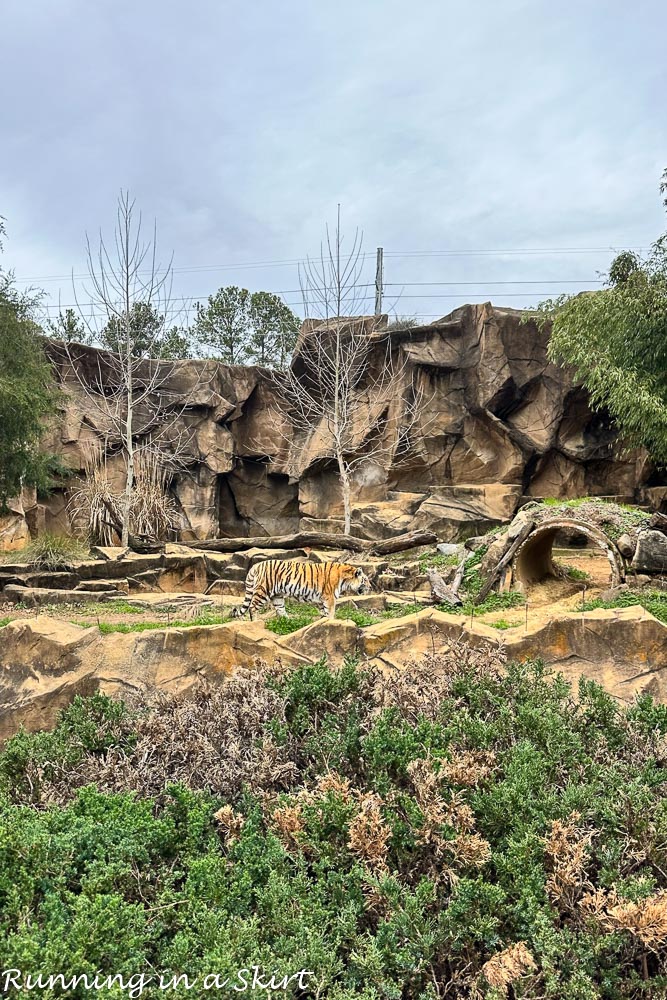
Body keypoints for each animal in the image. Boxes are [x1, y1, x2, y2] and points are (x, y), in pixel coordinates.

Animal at [232, 560, 374, 620]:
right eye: (365, 580)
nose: (371, 587)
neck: (345, 580)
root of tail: (255, 566)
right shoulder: (329, 598)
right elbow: (331, 612)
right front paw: (331, 622)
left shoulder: (322, 599)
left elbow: (324, 612)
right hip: (263, 590)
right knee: (253, 607)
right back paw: (255, 622)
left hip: (277, 596)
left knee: (280, 610)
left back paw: (289, 621)